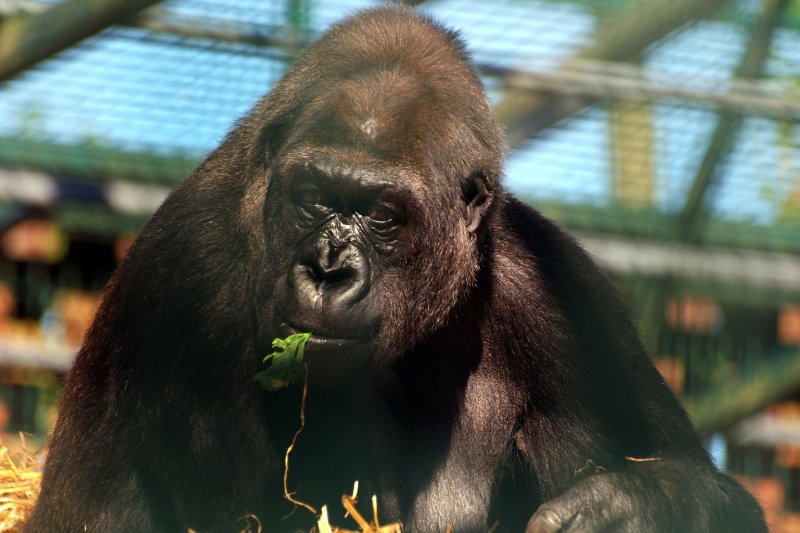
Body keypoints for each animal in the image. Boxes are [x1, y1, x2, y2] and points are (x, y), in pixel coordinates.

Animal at [26, 5, 768, 532]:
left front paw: (636, 504)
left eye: (381, 215)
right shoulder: (189, 277)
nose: (328, 269)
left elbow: (718, 494)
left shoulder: (560, 284)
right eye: (314, 198)